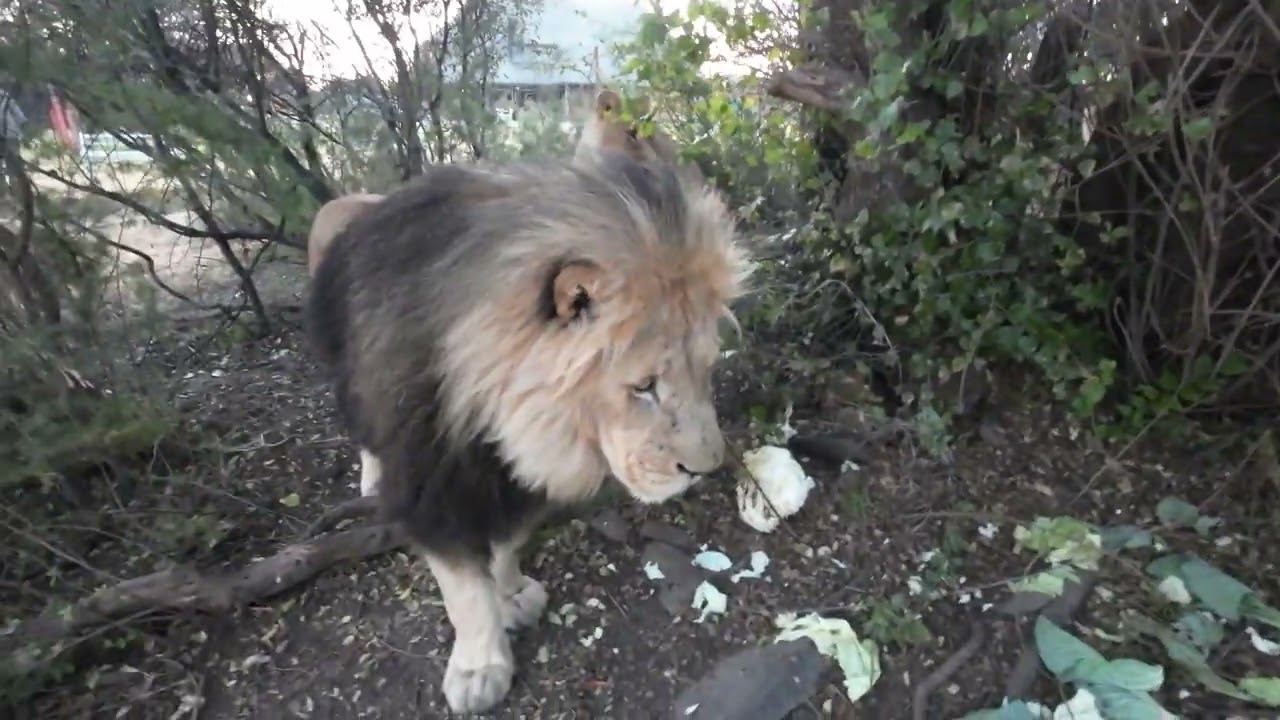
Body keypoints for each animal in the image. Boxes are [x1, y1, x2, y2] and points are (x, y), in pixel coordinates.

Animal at [305, 152, 749, 714]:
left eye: (707, 371)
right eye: (644, 386)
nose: (705, 469)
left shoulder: (515, 474)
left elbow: (507, 545)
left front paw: (512, 593)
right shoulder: (432, 482)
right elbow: (464, 590)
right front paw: (479, 668)